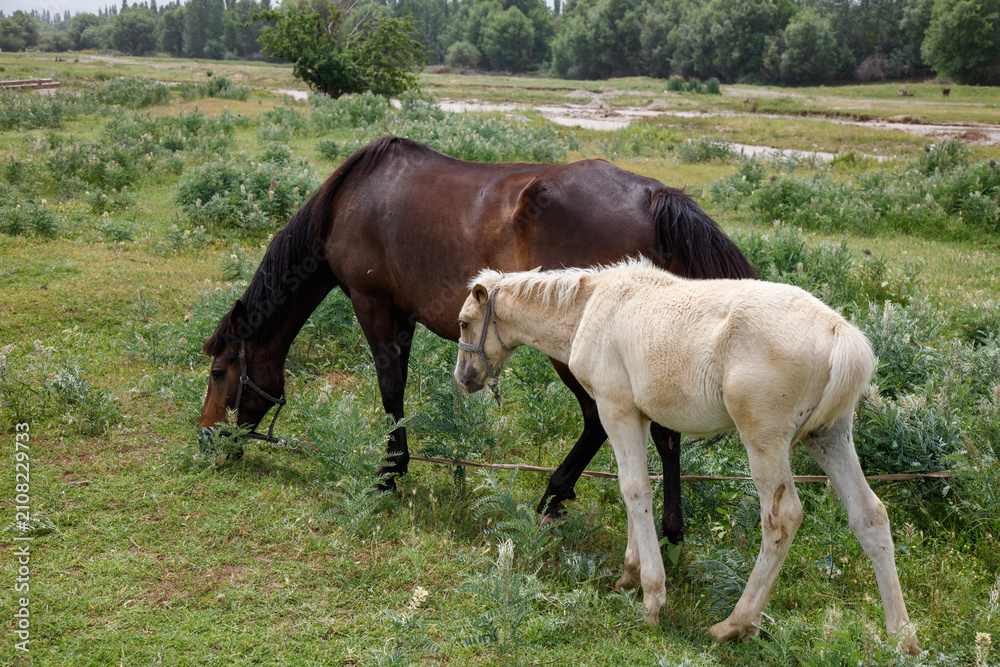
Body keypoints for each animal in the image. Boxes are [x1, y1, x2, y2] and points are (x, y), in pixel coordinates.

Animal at [197, 136, 757, 543]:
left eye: (219, 372)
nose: (206, 438)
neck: (349, 200)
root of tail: (652, 197)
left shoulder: (373, 303)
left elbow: (389, 388)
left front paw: (388, 473)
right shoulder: (403, 315)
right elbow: (397, 386)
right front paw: (397, 464)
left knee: (599, 419)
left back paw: (555, 499)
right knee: (662, 434)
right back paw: (667, 531)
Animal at [454, 258, 919, 654]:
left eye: (463, 323)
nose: (464, 377)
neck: (592, 308)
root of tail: (840, 332)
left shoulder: (614, 408)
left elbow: (635, 490)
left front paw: (652, 599)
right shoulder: (638, 416)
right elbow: (634, 492)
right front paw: (629, 575)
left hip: (765, 440)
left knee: (782, 519)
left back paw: (735, 625)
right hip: (829, 436)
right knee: (870, 514)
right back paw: (902, 639)